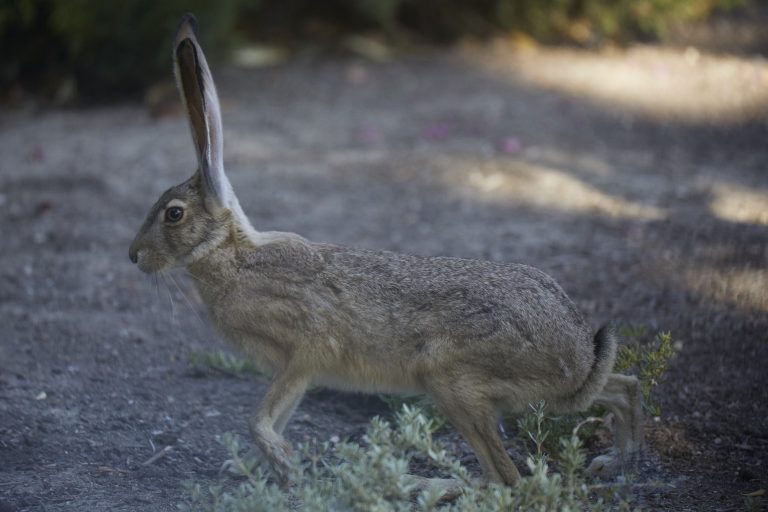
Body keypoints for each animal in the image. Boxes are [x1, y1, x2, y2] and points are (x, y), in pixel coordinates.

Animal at [129, 13, 643, 490]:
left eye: (173, 214)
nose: (134, 256)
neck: (234, 256)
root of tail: (576, 353)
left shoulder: (304, 352)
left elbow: (260, 421)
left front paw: (285, 468)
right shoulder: (295, 371)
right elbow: (280, 416)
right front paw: (267, 472)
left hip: (452, 383)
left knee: (505, 479)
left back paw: (427, 485)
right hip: (524, 391)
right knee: (622, 388)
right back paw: (614, 460)